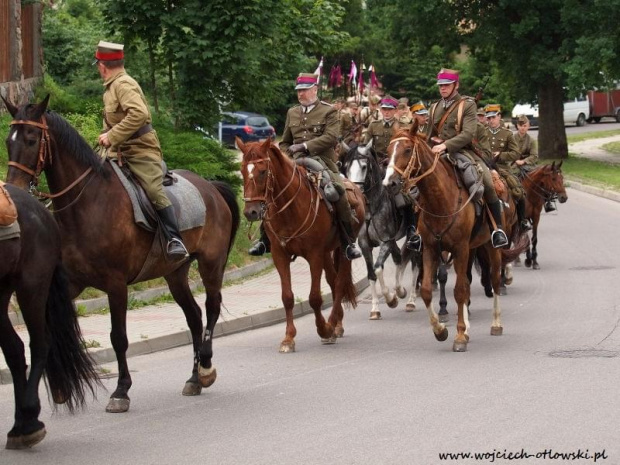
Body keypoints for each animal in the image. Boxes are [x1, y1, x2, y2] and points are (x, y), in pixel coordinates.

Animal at [0, 183, 99, 448]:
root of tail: (43, 211)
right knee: (14, 349)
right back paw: (19, 426)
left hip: (31, 285)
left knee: (40, 344)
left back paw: (29, 419)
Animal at [2, 95, 240, 414]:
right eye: (8, 141)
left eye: (31, 139)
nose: (13, 188)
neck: (87, 204)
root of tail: (210, 187)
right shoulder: (71, 284)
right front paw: (61, 388)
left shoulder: (116, 286)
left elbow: (118, 338)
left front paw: (121, 391)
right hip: (175, 274)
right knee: (194, 317)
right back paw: (193, 379)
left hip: (210, 264)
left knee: (212, 308)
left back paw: (205, 368)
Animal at [236, 138, 364, 352]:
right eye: (242, 170)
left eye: (262, 171)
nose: (250, 212)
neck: (289, 208)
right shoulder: (280, 255)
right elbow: (287, 297)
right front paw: (288, 338)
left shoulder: (314, 255)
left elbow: (315, 298)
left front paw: (324, 329)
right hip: (327, 252)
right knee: (332, 280)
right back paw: (337, 325)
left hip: (343, 249)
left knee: (339, 283)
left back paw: (332, 324)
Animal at [382, 123, 504, 352]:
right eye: (387, 151)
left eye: (407, 150)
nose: (389, 183)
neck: (439, 199)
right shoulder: (431, 249)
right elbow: (428, 290)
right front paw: (441, 331)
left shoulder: (460, 249)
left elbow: (459, 291)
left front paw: (459, 337)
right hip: (470, 249)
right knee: (467, 282)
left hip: (490, 247)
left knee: (493, 280)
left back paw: (496, 324)